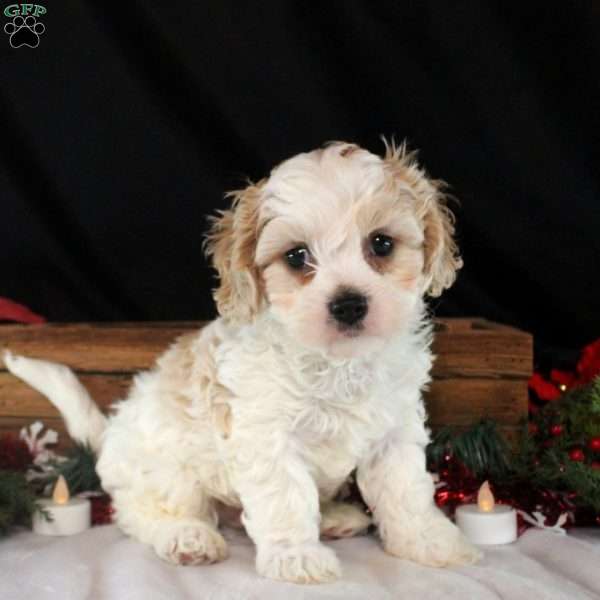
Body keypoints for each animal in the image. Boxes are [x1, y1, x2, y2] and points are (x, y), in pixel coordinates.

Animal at [4, 141, 480, 580]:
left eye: (381, 244)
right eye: (296, 256)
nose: (348, 305)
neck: (335, 363)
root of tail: (112, 434)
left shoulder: (394, 432)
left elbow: (406, 491)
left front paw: (429, 541)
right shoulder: (266, 434)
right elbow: (285, 496)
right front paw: (295, 557)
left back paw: (335, 518)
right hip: (166, 472)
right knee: (143, 513)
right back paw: (187, 536)